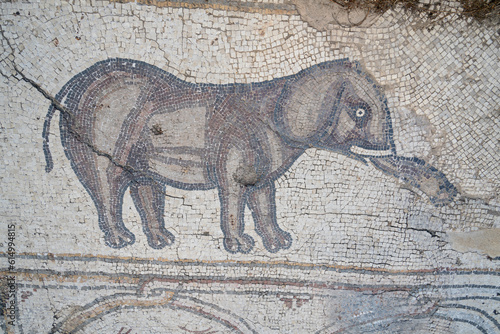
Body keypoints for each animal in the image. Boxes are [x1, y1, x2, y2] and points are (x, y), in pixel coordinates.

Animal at [43, 58, 458, 253]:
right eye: (359, 111)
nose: (446, 191)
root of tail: (73, 85)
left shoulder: (266, 160)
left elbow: (263, 198)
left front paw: (281, 245)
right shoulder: (235, 148)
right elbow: (233, 194)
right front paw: (241, 249)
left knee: (144, 185)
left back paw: (163, 242)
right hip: (97, 132)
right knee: (106, 185)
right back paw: (121, 241)